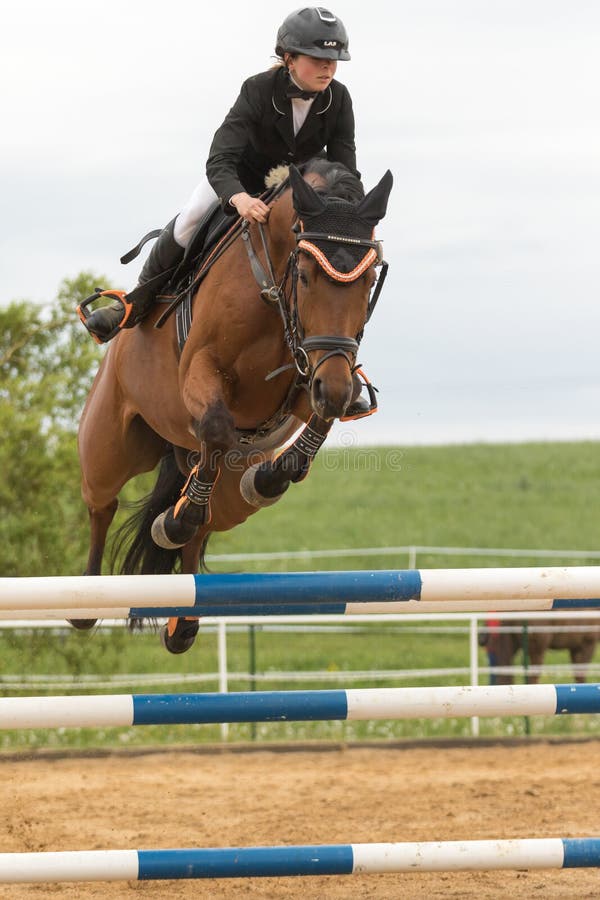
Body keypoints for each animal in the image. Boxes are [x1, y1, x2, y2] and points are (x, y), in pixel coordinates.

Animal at [76, 160, 394, 652]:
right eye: (305, 275)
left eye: (369, 278)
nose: (333, 385)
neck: (271, 288)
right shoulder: (201, 370)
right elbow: (217, 425)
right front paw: (185, 513)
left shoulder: (317, 371)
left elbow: (324, 414)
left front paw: (267, 479)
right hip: (110, 446)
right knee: (101, 503)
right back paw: (91, 597)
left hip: (227, 500)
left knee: (203, 523)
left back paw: (181, 617)